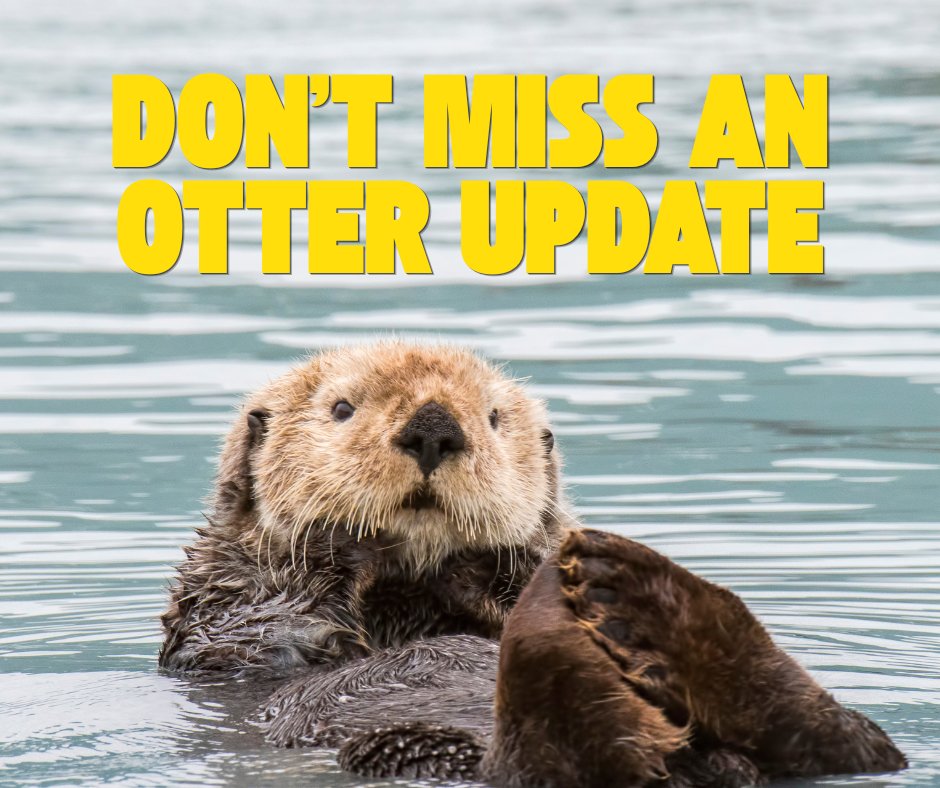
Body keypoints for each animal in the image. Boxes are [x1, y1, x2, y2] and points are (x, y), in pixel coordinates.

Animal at [161, 341, 907, 786]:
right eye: (341, 407)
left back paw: (641, 598)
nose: (434, 427)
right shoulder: (222, 605)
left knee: (851, 743)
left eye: (493, 418)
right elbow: (271, 626)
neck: (414, 593)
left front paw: (514, 569)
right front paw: (342, 541)